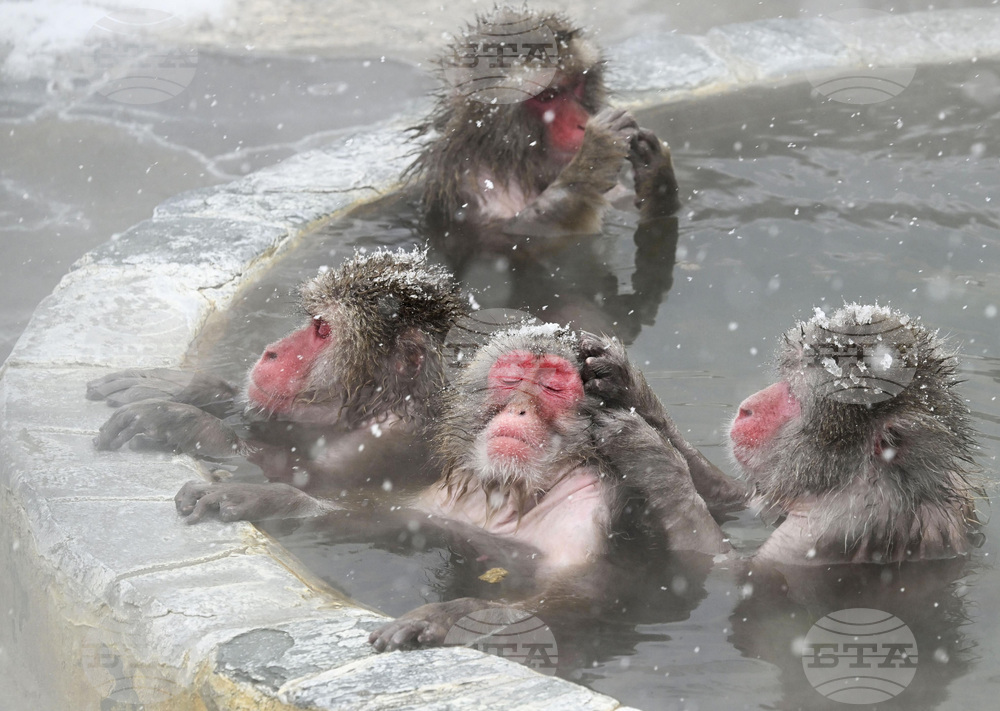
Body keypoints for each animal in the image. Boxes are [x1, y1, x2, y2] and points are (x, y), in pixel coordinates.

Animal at [88, 249, 467, 493]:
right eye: (314, 321)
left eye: (323, 330)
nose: (271, 351)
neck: (375, 408)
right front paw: (184, 388)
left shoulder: (384, 443)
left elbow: (312, 480)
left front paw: (183, 422)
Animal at [174, 324, 728, 651]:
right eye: (512, 378)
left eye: (553, 386)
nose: (520, 409)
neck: (516, 491)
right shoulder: (449, 499)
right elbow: (391, 520)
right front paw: (268, 497)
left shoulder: (593, 507)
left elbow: (584, 593)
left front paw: (452, 616)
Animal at [409, 6, 680, 265]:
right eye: (547, 96)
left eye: (577, 84)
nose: (583, 124)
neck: (512, 158)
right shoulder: (475, 185)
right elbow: (518, 238)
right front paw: (593, 159)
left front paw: (655, 171)